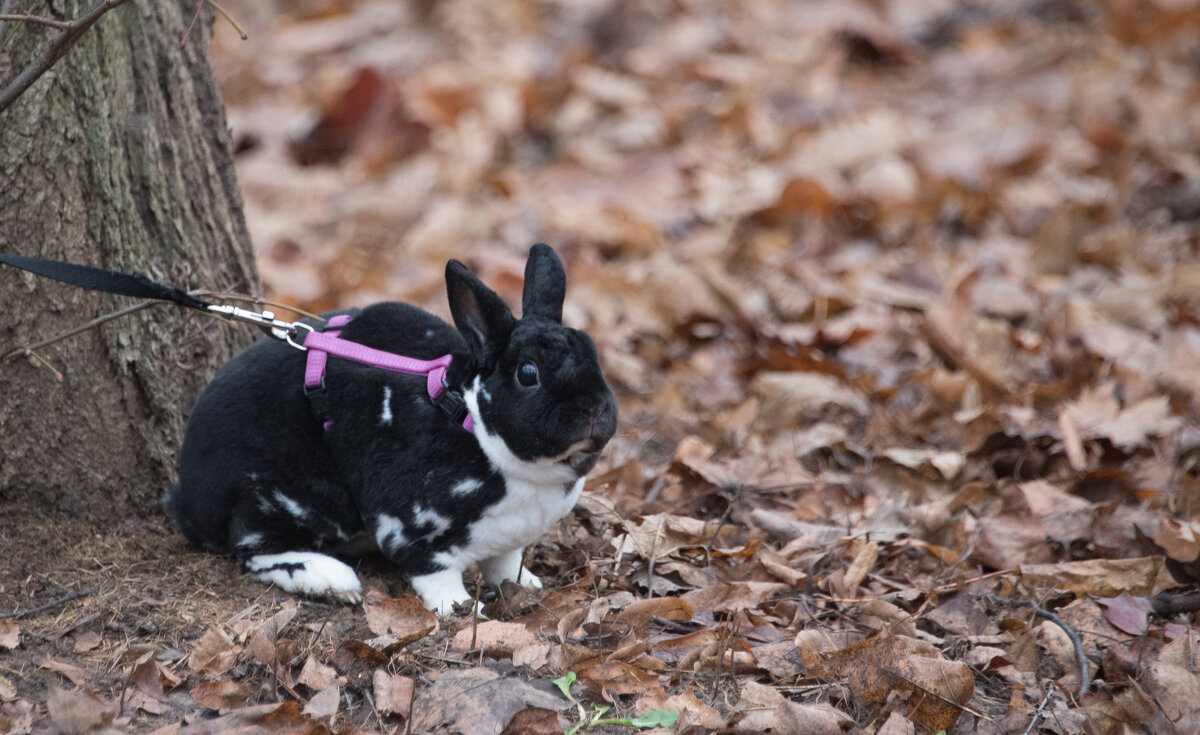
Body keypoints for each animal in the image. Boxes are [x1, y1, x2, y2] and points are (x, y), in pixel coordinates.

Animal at [164, 243, 619, 612]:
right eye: (528, 373)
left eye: (592, 351)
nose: (594, 409)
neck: (468, 419)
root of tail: (187, 499)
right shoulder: (410, 528)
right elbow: (435, 575)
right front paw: (460, 608)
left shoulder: (507, 542)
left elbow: (505, 565)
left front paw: (526, 585)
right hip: (273, 498)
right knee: (254, 550)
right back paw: (333, 579)